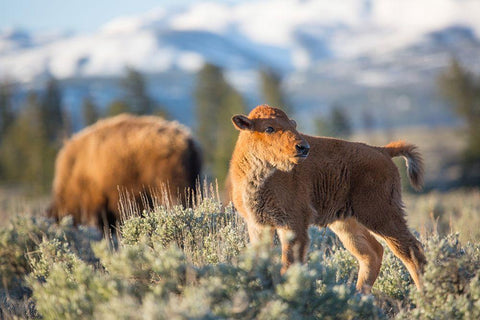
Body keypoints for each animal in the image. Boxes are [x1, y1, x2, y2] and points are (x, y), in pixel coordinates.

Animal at [230, 104, 428, 292]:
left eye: (293, 125)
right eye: (269, 128)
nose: (303, 147)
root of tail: (382, 151)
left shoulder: (293, 224)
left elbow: (289, 264)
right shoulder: (258, 225)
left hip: (381, 216)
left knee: (411, 251)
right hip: (346, 223)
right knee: (372, 253)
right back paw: (359, 296)